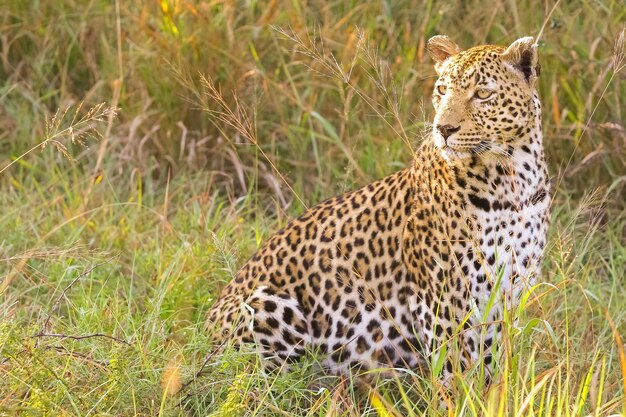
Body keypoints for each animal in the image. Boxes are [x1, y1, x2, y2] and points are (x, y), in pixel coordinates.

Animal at [205, 35, 544, 380]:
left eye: (483, 94)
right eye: (441, 90)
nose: (443, 129)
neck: (511, 181)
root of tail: (205, 333)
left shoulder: (509, 294)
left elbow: (495, 364)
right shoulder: (442, 300)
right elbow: (454, 369)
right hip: (266, 306)